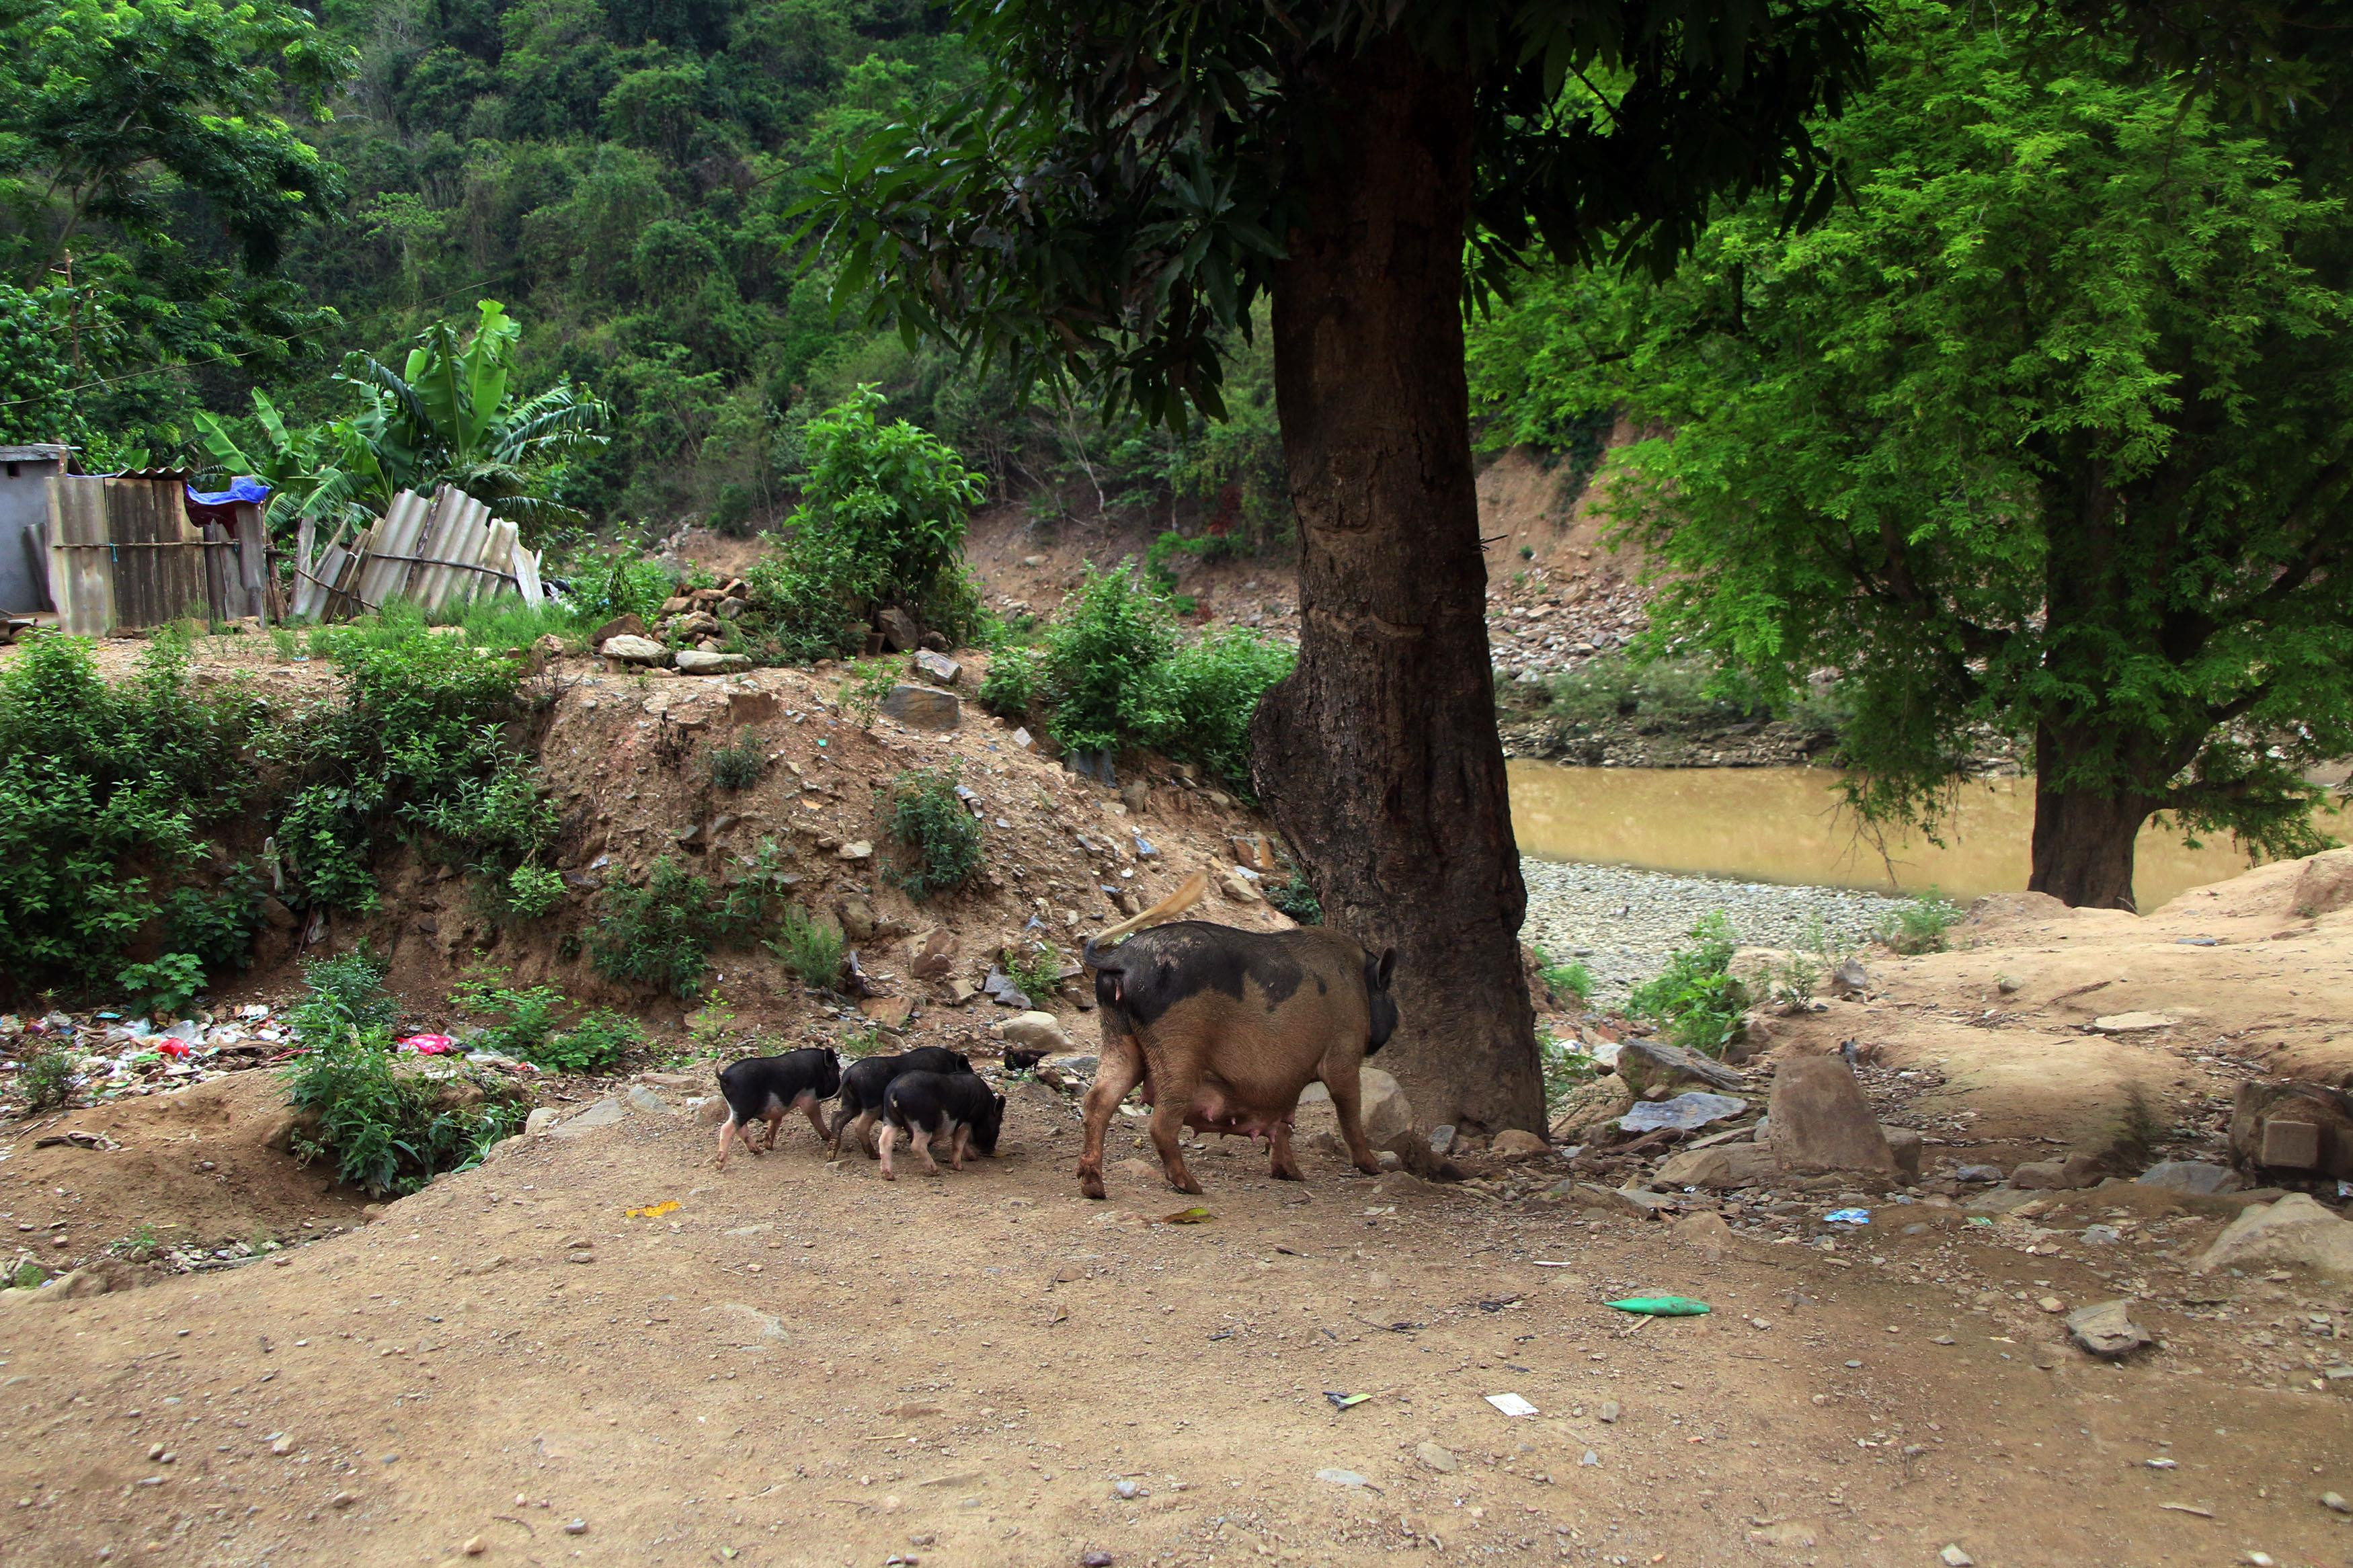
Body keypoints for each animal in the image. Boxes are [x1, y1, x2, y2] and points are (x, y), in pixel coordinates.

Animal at [1078, 870, 1393, 1203]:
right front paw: (1373, 1168)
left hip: (1116, 1033)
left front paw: (1291, 1175)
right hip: (1178, 1047)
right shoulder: (1344, 1049)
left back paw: (1094, 1188)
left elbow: (1285, 1121)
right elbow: (1349, 1109)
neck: (1360, 984)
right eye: (1388, 993)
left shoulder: (1289, 1079)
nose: (1396, 1016)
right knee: (1161, 1121)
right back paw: (1192, 1186)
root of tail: (1123, 957)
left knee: (1098, 1101)